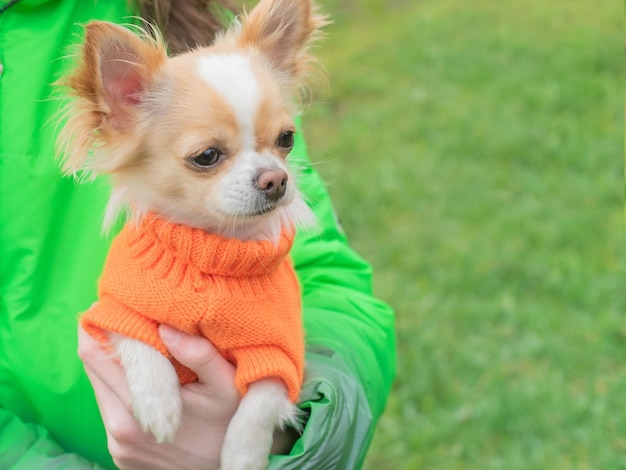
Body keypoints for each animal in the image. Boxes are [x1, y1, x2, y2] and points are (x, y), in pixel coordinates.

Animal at [58, 1, 326, 468]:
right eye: (207, 156)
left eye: (286, 139)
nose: (276, 179)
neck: (213, 246)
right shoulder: (112, 309)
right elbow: (136, 336)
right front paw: (157, 404)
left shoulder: (283, 355)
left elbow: (262, 398)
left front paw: (243, 455)